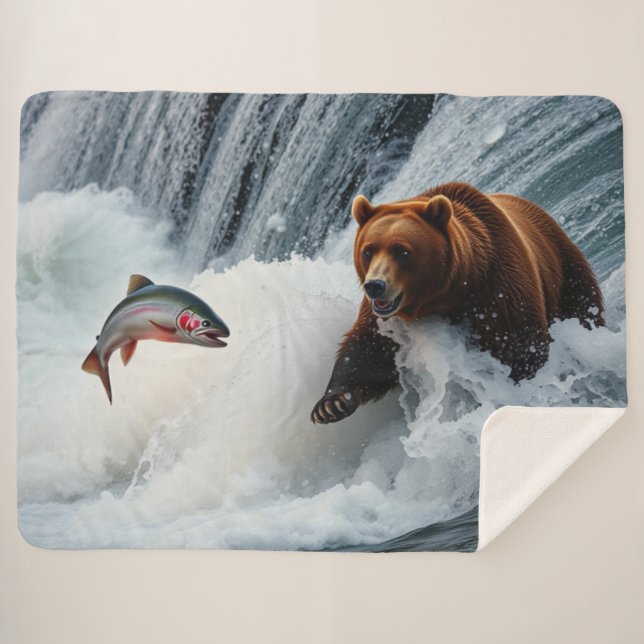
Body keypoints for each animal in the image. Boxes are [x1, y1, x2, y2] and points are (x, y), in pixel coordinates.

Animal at [311, 182, 604, 424]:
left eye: (402, 250)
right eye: (368, 250)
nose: (375, 286)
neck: (444, 294)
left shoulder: (497, 289)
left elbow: (518, 345)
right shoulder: (387, 320)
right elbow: (367, 353)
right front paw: (331, 405)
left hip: (567, 272)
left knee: (584, 311)